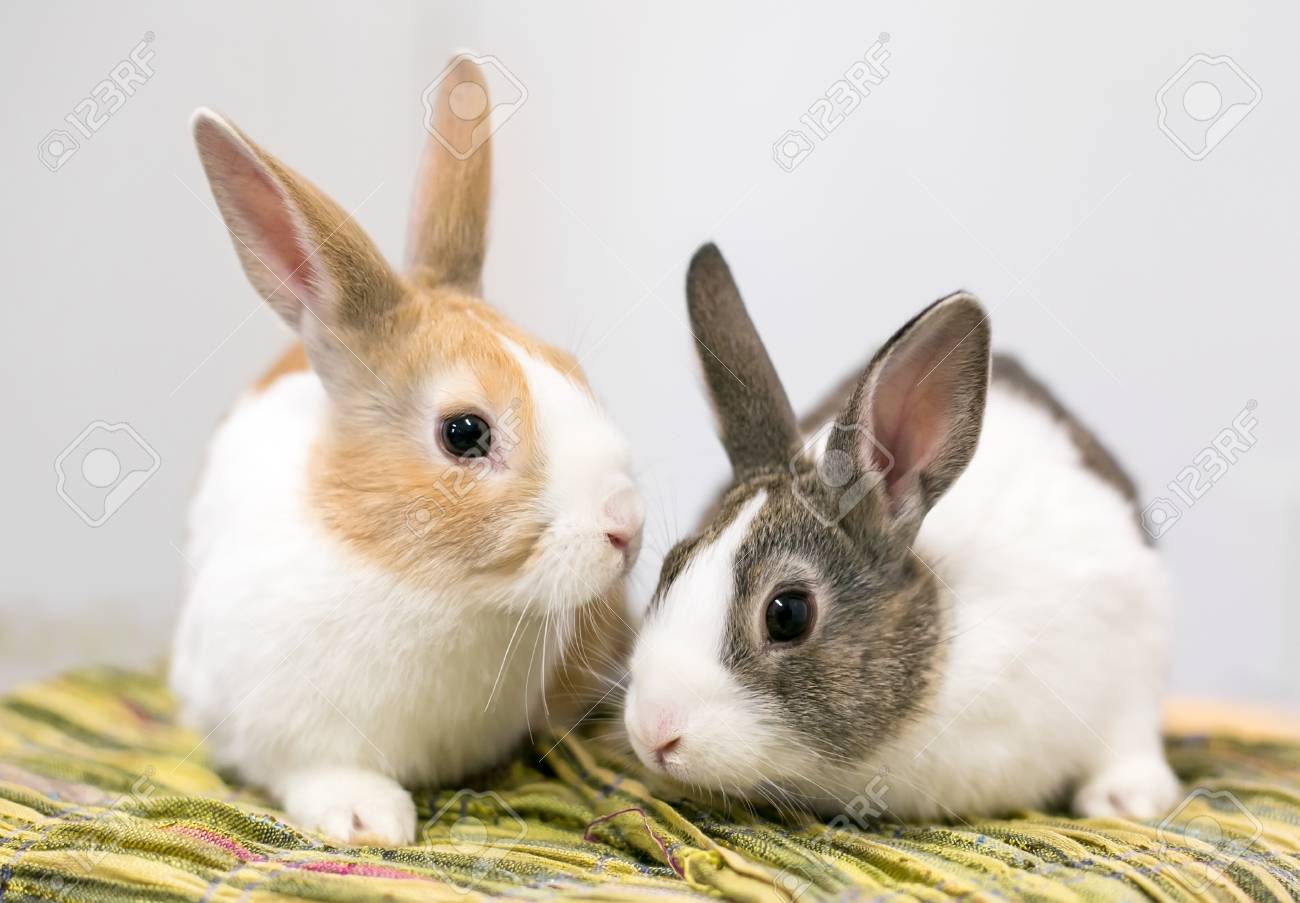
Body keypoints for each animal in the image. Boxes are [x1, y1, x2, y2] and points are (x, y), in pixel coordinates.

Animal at [170, 57, 644, 846]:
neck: (422, 580)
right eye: (465, 433)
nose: (626, 527)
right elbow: (312, 768)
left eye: (572, 370)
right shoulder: (259, 722)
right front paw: (371, 822)